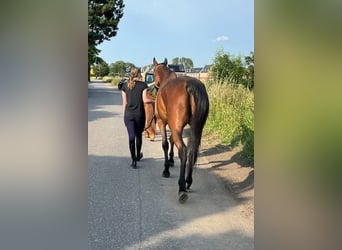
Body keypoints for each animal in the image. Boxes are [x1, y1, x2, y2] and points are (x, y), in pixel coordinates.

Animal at [153, 57, 211, 203]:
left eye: (154, 71)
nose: (155, 85)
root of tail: (191, 85)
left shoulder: (162, 123)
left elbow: (165, 144)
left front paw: (166, 169)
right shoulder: (175, 127)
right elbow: (171, 140)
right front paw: (171, 160)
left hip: (175, 127)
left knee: (184, 150)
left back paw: (181, 187)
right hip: (197, 128)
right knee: (192, 151)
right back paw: (188, 182)